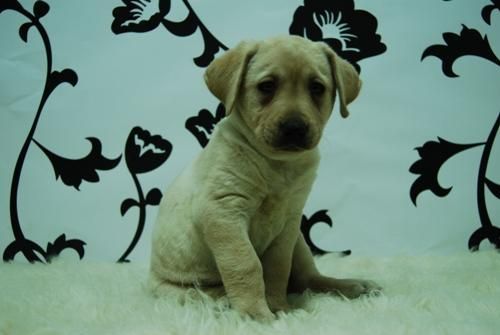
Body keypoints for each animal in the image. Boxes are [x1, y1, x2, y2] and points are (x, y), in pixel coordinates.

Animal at [150, 35, 380, 322]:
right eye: (267, 86)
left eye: (316, 88)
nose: (294, 127)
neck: (277, 165)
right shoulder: (223, 213)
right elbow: (247, 265)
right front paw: (256, 315)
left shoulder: (289, 222)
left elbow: (277, 267)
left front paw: (280, 308)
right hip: (178, 289)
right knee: (203, 294)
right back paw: (221, 300)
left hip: (300, 244)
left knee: (307, 279)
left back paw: (353, 285)